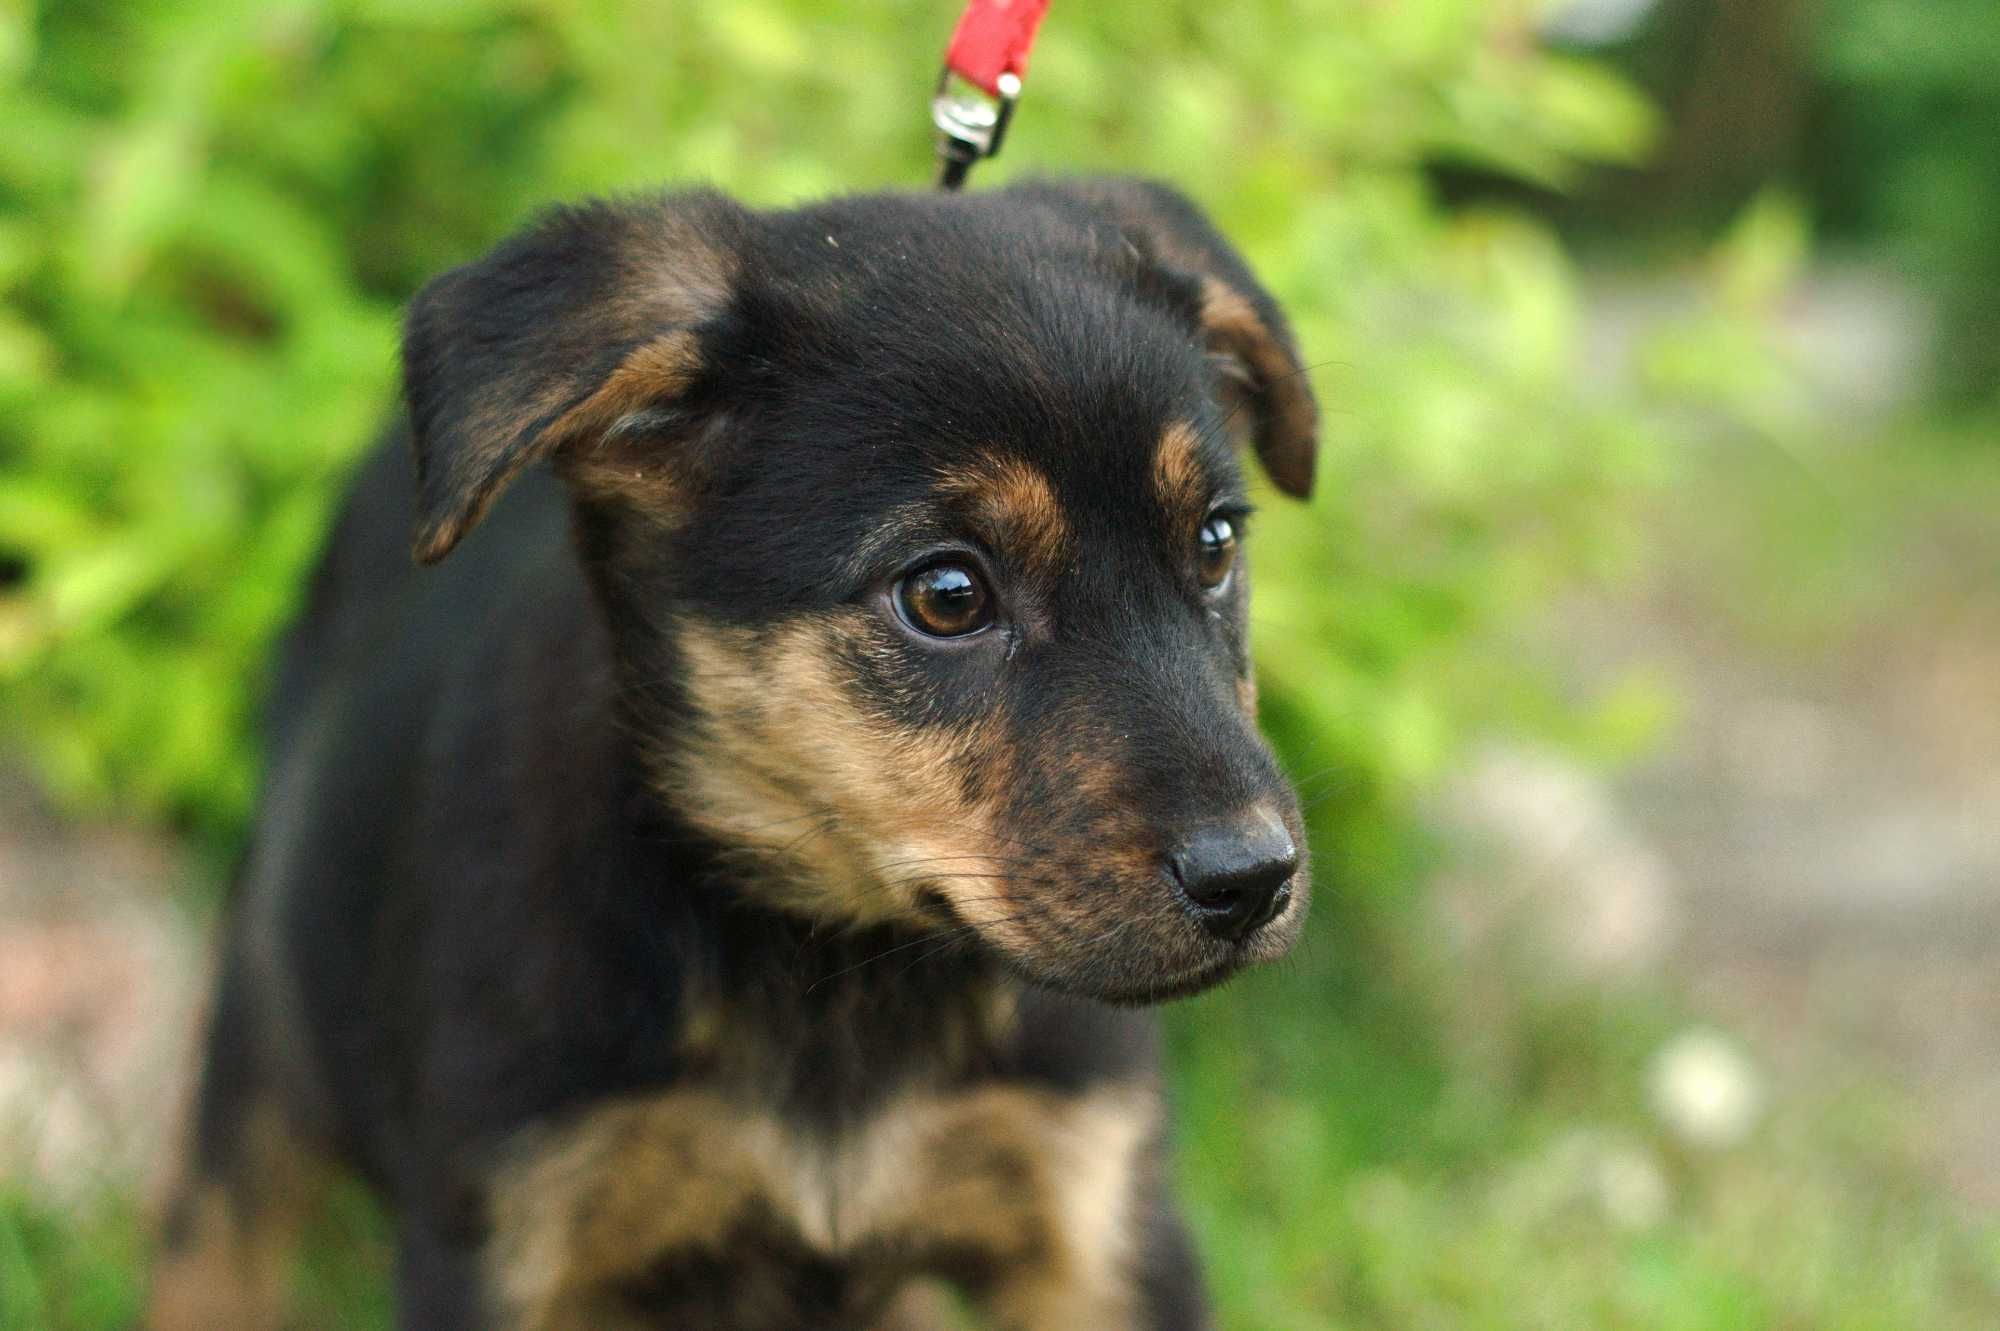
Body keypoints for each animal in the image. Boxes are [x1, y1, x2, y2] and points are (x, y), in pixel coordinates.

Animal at [148, 178, 1320, 1327]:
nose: (1252, 879)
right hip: (262, 1042)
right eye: (946, 594)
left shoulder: (1099, 1225)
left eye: (1214, 543)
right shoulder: (501, 1240)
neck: (829, 967)